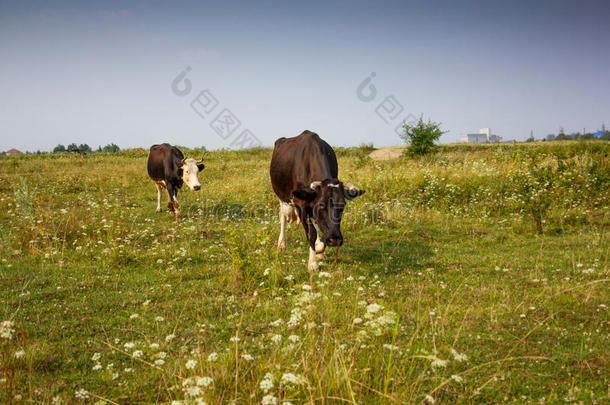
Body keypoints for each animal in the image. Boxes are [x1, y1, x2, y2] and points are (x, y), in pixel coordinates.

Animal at [270, 130, 364, 268]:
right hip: (281, 196)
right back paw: (281, 244)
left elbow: (319, 228)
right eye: (321, 205)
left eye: (342, 205)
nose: (335, 240)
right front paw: (313, 263)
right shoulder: (301, 204)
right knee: (283, 216)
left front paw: (320, 249)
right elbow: (311, 233)